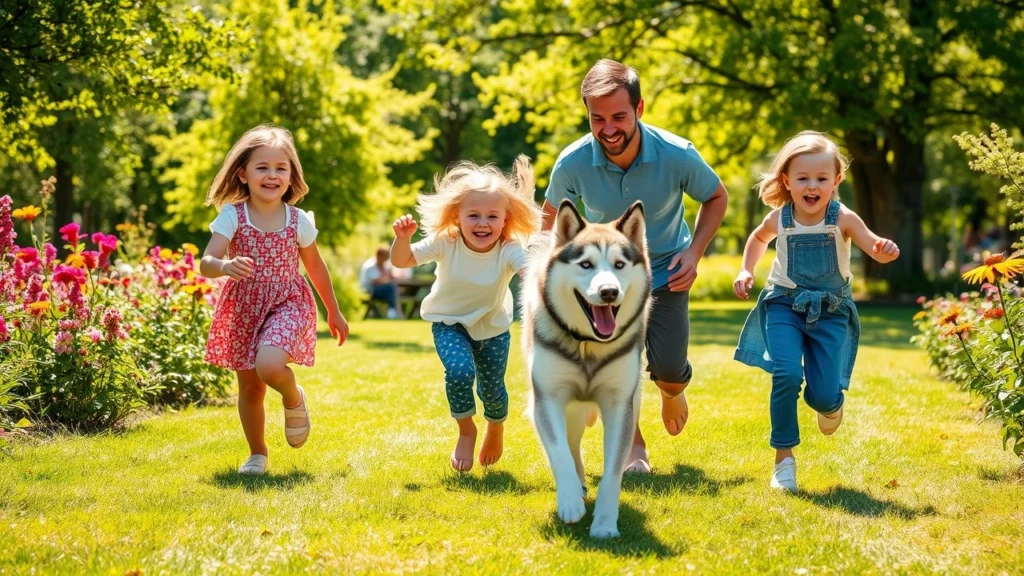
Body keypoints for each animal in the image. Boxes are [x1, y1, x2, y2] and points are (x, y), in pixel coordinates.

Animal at [524, 198, 651, 537]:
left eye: (619, 265)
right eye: (585, 265)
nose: (609, 292)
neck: (587, 346)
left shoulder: (620, 404)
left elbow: (613, 471)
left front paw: (605, 522)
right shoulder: (547, 398)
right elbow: (560, 453)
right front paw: (569, 500)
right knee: (570, 444)